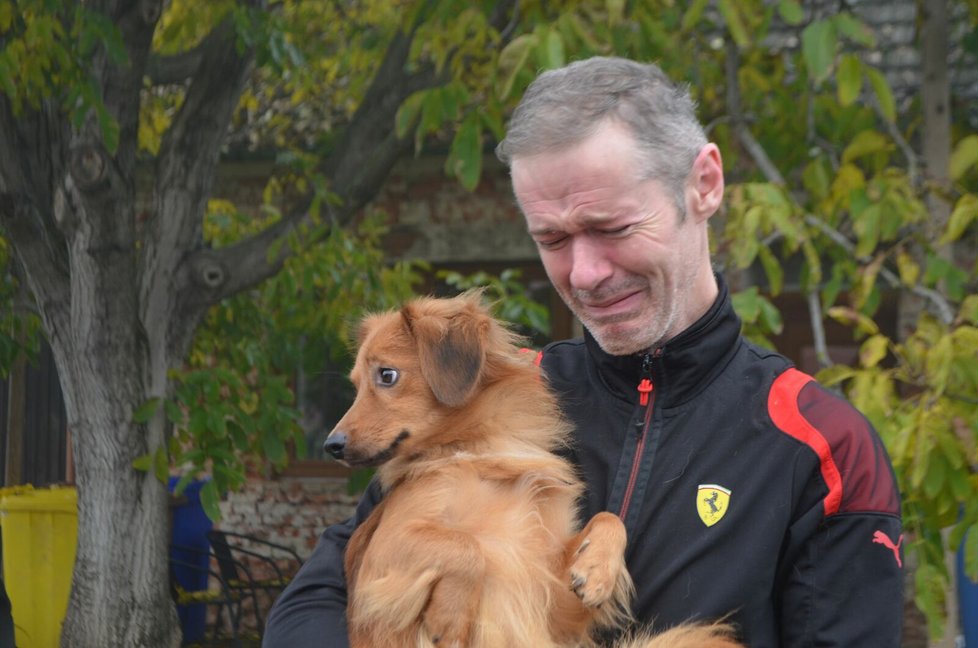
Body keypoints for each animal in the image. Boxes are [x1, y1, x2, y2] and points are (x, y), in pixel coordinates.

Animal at [324, 294, 744, 648]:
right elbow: (466, 546)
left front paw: (597, 570)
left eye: (387, 375)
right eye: (356, 384)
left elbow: (609, 519)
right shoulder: (387, 548)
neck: (477, 451)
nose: (332, 446)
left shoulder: (545, 589)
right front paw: (451, 616)